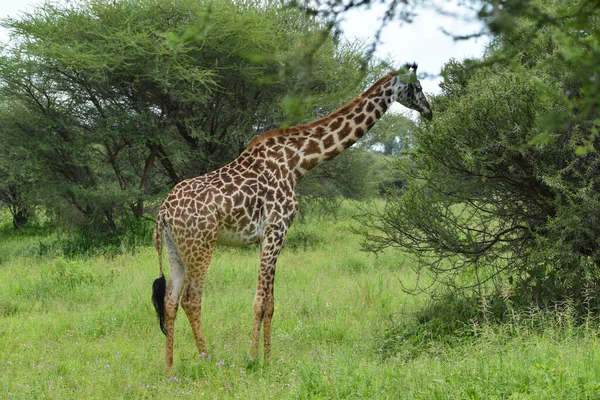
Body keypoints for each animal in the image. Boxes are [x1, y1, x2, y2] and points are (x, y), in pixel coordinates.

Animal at [150, 63, 432, 368]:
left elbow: (271, 303)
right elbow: (260, 302)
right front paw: (252, 360)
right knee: (191, 299)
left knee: (170, 300)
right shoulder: (277, 227)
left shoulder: (269, 235)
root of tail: (163, 211)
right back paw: (208, 359)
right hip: (201, 244)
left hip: (175, 247)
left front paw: (268, 359)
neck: (297, 162)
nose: (429, 110)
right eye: (417, 87)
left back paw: (169, 367)